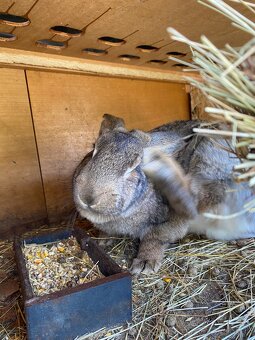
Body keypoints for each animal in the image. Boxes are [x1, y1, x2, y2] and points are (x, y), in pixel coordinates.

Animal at [72, 113, 255, 274]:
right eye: (93, 150)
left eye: (134, 167)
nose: (88, 197)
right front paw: (103, 241)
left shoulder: (170, 222)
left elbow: (154, 237)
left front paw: (145, 264)